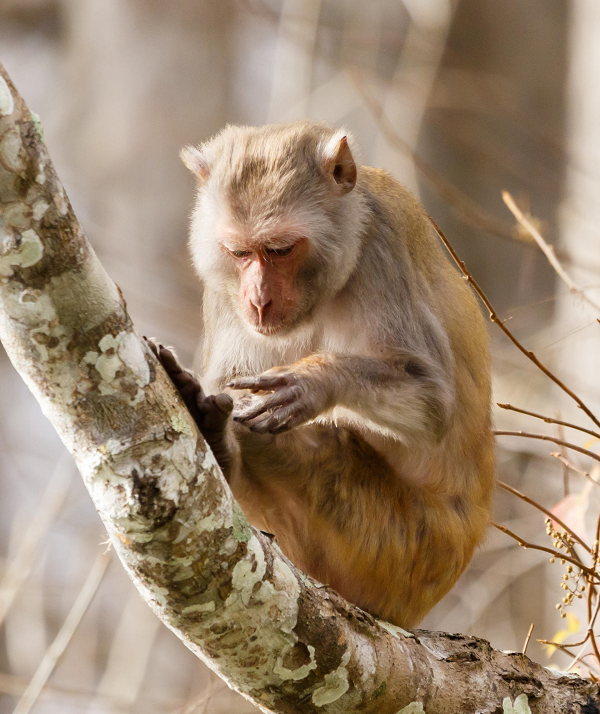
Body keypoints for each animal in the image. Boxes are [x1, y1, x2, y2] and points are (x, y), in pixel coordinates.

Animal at [152, 122, 494, 628]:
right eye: (239, 252)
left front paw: (315, 383)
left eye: (279, 250)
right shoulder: (222, 285)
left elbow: (432, 400)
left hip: (409, 549)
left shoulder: (381, 251)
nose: (258, 301)